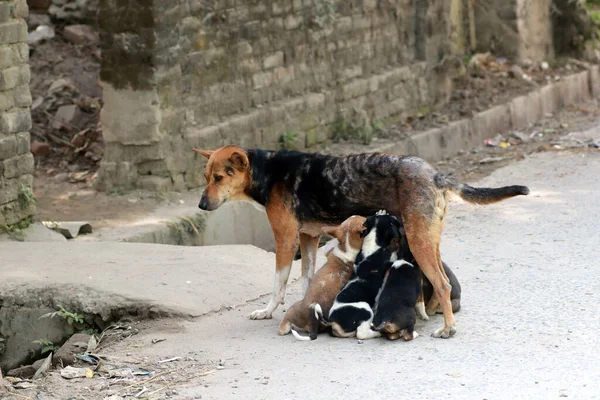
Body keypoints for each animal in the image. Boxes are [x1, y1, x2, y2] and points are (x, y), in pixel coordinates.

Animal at [326, 211, 400, 340]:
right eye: (391, 220)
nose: (396, 216)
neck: (372, 243)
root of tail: (333, 321)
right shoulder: (391, 257)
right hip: (365, 309)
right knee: (361, 333)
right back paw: (378, 333)